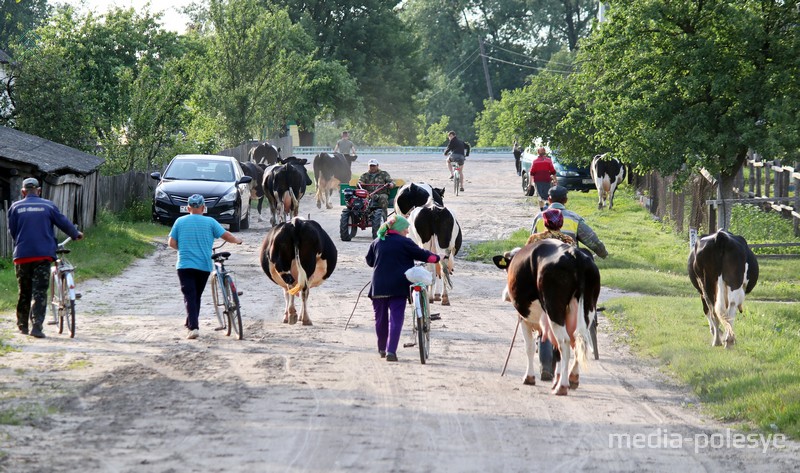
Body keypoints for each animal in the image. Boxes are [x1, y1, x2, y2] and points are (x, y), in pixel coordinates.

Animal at [494, 240, 600, 394]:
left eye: (506, 269)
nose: (505, 295)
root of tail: (574, 254)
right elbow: (554, 350)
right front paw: (555, 379)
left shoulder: (524, 319)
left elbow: (530, 347)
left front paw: (529, 377)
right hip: (587, 308)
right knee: (579, 340)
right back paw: (572, 378)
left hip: (554, 310)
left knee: (565, 342)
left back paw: (562, 387)